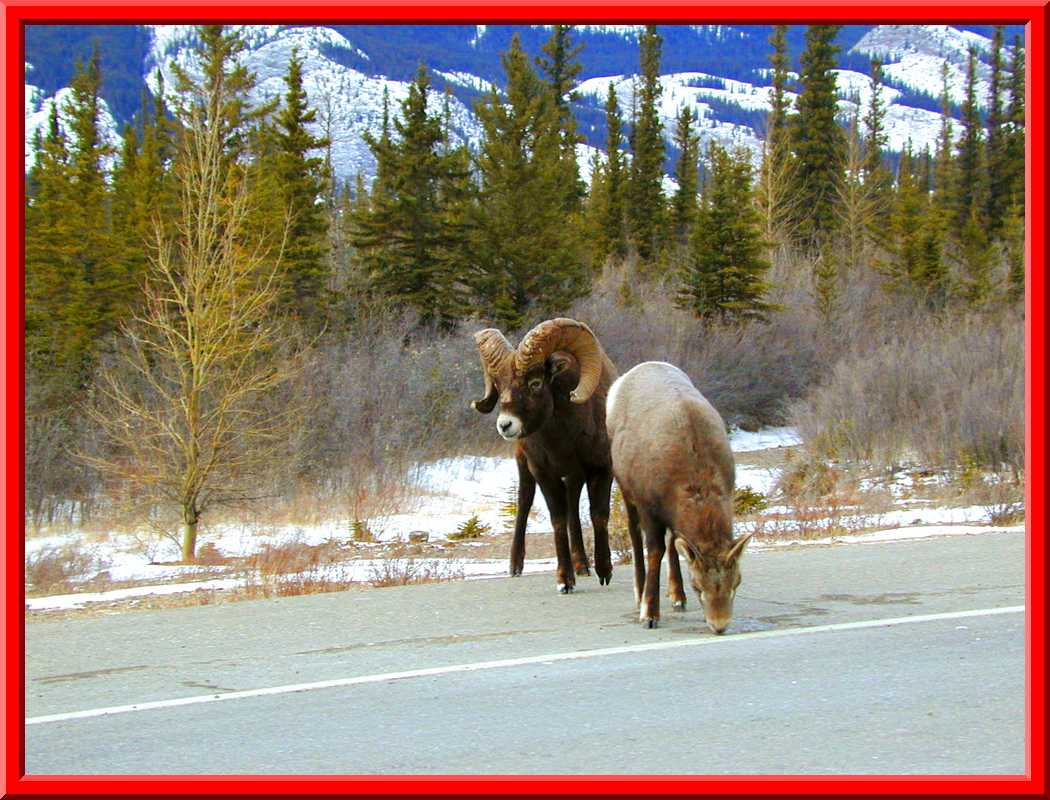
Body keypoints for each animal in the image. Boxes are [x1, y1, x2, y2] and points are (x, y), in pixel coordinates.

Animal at [474, 317, 617, 592]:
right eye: (499, 385)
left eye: (535, 383)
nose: (505, 425)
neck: (564, 439)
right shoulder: (544, 474)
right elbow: (558, 520)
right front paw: (565, 581)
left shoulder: (601, 469)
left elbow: (598, 515)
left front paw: (604, 571)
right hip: (525, 467)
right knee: (525, 502)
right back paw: (515, 567)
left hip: (574, 477)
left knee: (574, 508)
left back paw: (583, 566)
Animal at [609, 359, 755, 629]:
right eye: (698, 586)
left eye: (735, 584)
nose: (719, 625)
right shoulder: (648, 508)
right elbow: (655, 551)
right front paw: (649, 614)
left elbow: (673, 544)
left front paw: (677, 597)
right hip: (626, 492)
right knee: (634, 535)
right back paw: (639, 592)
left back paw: (677, 597)